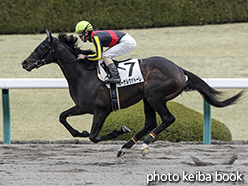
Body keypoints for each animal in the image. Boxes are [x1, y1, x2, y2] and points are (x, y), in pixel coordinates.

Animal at [22, 30, 243, 157]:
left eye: (41, 47)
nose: (25, 63)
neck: (84, 74)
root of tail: (179, 69)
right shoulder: (82, 106)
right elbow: (63, 117)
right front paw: (80, 132)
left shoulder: (101, 111)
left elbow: (94, 137)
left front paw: (119, 130)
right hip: (147, 99)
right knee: (150, 123)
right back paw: (126, 146)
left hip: (155, 96)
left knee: (168, 119)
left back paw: (144, 143)